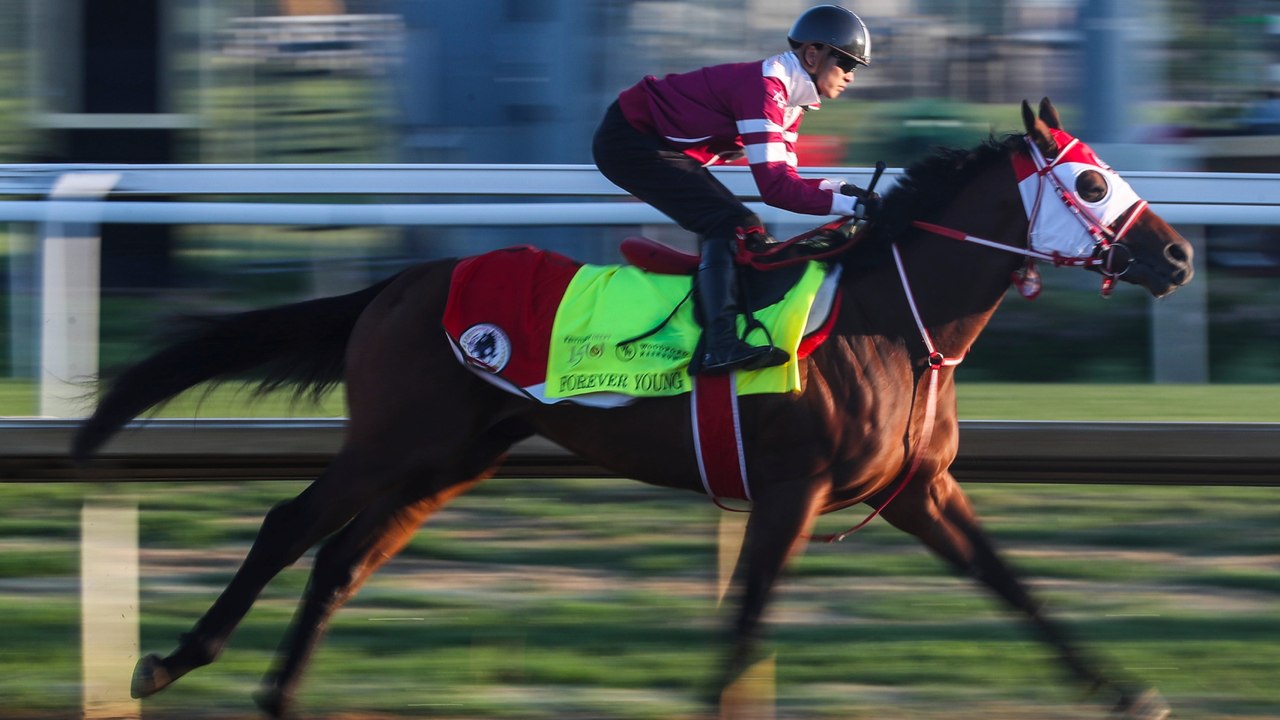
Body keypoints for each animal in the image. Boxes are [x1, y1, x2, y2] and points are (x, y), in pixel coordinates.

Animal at [72, 98, 1192, 719]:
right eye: (1092, 183)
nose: (1177, 255)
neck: (891, 318)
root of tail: (397, 285)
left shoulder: (918, 488)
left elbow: (1013, 586)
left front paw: (1126, 690)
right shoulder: (793, 489)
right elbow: (745, 617)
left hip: (452, 457)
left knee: (342, 559)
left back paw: (280, 693)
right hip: (396, 440)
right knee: (288, 526)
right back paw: (174, 662)